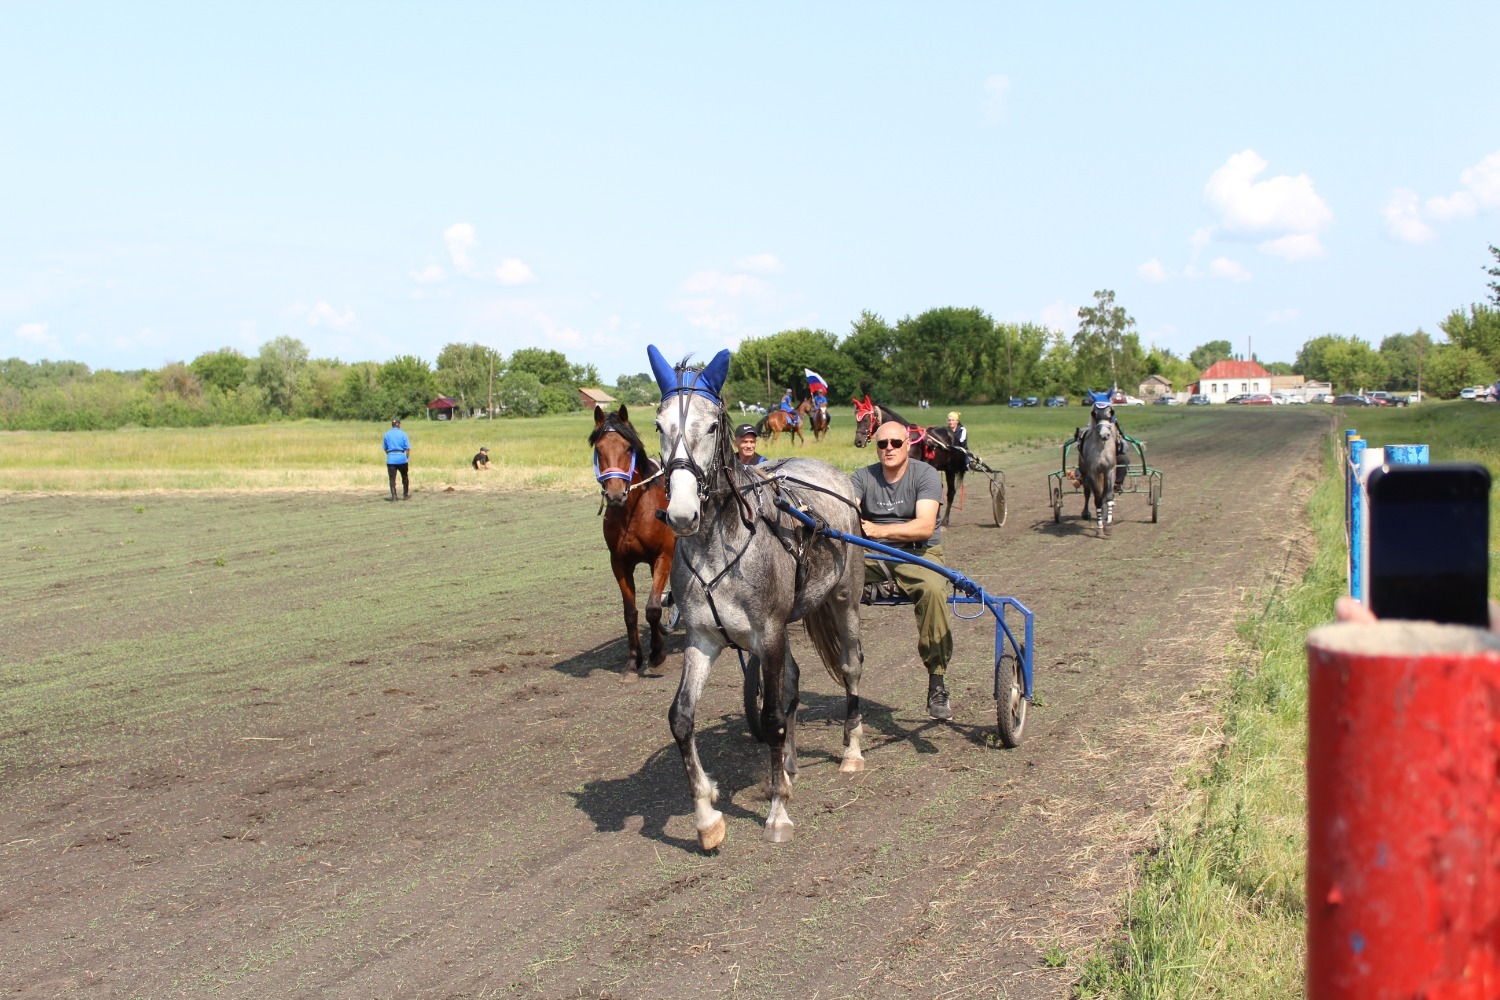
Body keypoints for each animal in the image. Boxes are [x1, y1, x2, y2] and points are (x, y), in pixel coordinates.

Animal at [590, 405, 676, 677]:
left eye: (628, 447)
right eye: (599, 449)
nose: (615, 494)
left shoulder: (663, 556)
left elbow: (653, 609)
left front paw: (657, 654)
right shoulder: (619, 562)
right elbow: (631, 612)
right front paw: (634, 659)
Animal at [649, 344, 866, 850]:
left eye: (712, 425)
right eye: (659, 425)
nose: (681, 513)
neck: (719, 545)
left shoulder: (767, 634)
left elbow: (770, 719)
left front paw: (777, 811)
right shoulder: (704, 638)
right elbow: (682, 718)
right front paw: (706, 816)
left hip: (845, 597)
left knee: (850, 667)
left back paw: (851, 749)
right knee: (791, 681)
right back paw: (785, 765)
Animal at [850, 395, 969, 528]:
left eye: (866, 419)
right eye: (857, 420)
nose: (858, 441)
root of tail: (953, 436)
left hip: (950, 469)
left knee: (951, 493)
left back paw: (945, 520)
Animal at [1076, 393, 1118, 537]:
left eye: (1111, 411)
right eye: (1094, 412)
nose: (1104, 434)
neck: (1101, 448)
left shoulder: (1109, 470)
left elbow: (1108, 496)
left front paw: (1108, 525)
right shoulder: (1092, 473)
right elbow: (1097, 498)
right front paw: (1100, 528)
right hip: (1084, 472)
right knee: (1087, 492)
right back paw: (1086, 513)